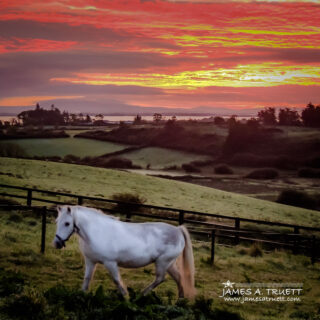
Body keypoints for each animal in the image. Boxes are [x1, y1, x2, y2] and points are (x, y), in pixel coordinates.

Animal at [52, 206, 195, 298]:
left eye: (67, 223)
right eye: (57, 221)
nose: (56, 243)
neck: (98, 232)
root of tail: (178, 230)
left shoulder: (110, 263)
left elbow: (116, 280)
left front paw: (126, 297)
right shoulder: (91, 261)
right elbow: (87, 279)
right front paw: (81, 296)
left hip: (162, 262)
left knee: (160, 279)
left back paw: (141, 295)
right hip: (169, 264)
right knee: (178, 278)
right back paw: (180, 300)